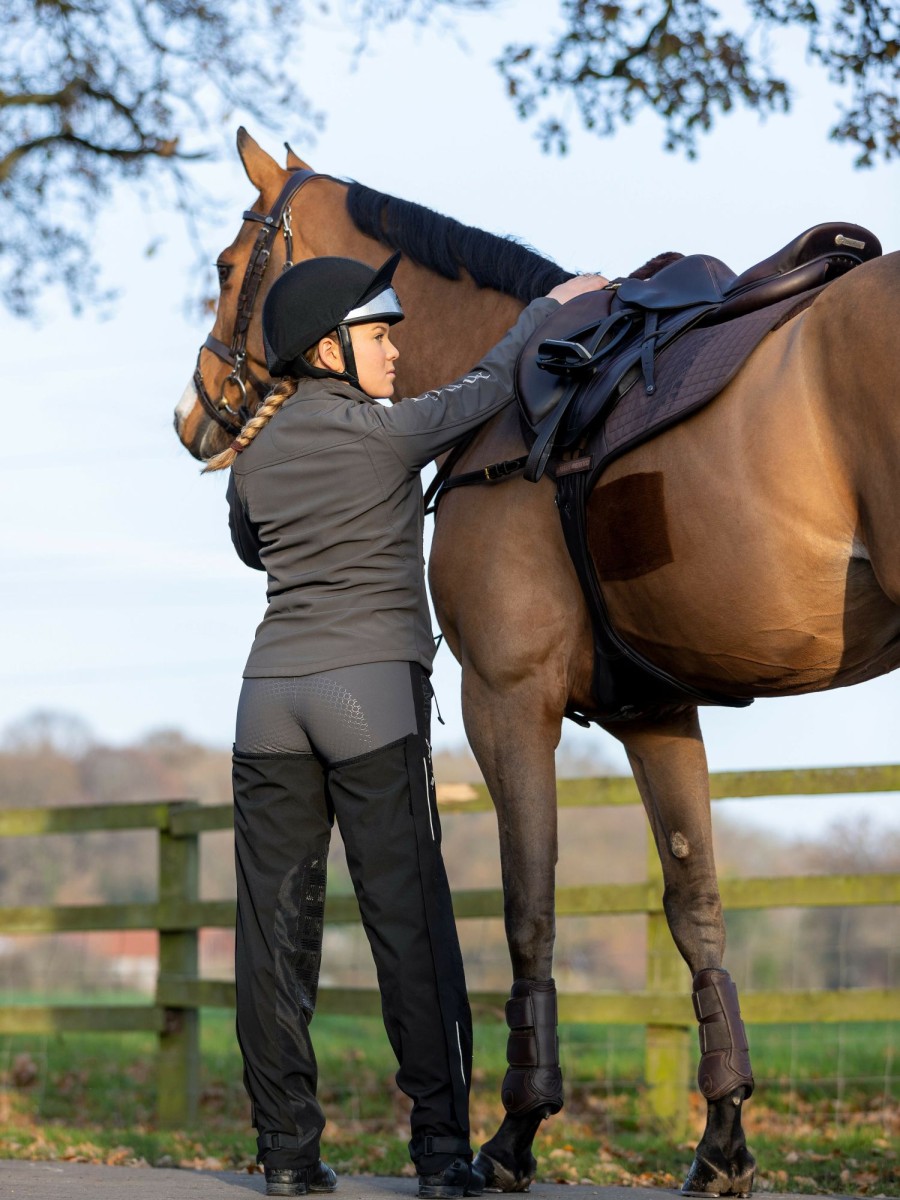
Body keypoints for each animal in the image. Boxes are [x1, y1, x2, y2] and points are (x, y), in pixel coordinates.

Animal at [174, 126, 900, 1195]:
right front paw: (722, 1139)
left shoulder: (506, 702)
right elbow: (696, 910)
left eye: (229, 267)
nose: (196, 415)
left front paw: (513, 1135)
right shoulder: (654, 713)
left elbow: (528, 910)